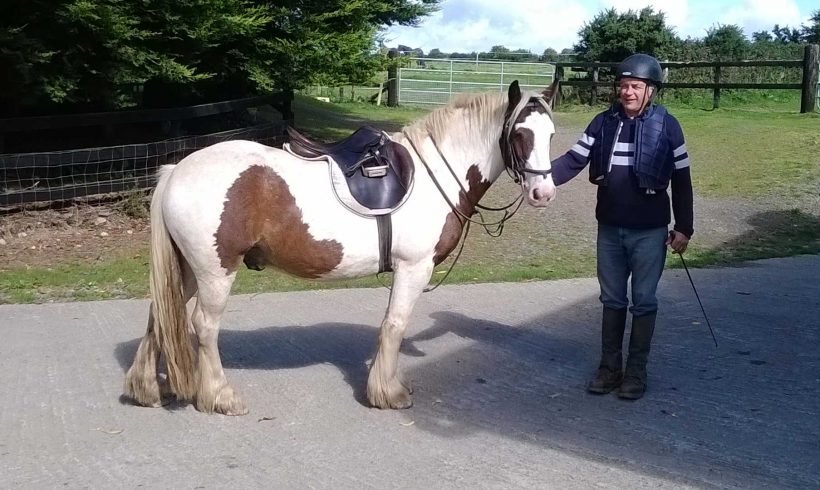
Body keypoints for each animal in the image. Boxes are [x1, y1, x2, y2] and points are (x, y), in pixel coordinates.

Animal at [124, 80, 559, 415]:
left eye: (551, 135)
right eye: (520, 134)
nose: (543, 193)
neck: (434, 172)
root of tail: (176, 170)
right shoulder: (413, 268)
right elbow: (395, 325)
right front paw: (388, 393)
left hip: (187, 269)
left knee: (160, 314)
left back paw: (146, 389)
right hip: (216, 271)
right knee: (204, 326)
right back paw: (220, 397)